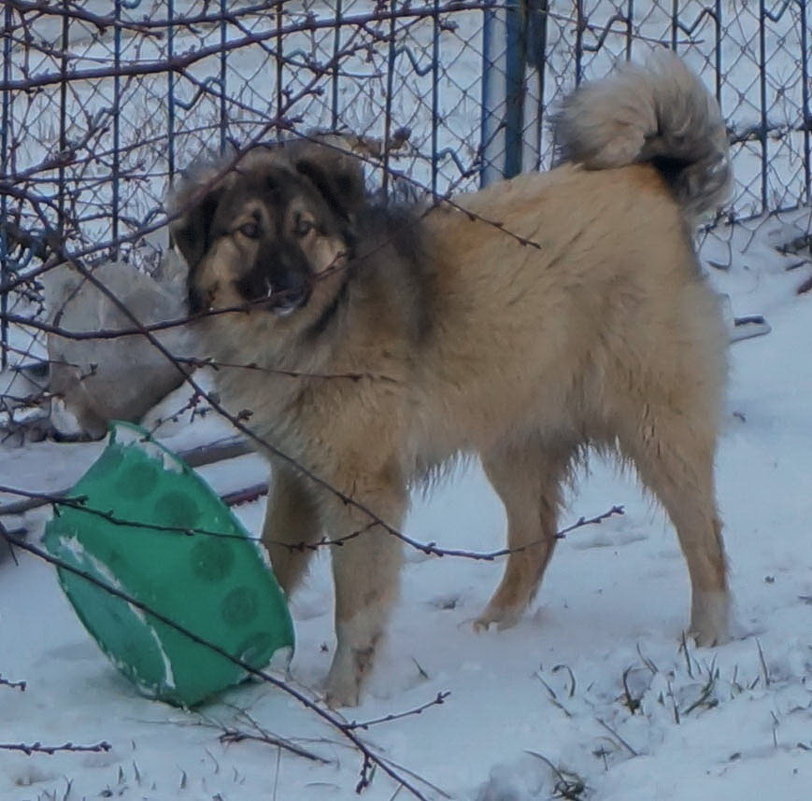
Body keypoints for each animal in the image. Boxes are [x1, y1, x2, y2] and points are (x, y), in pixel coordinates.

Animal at [174, 51, 732, 708]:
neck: (315, 329)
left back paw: (710, 633)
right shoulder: (293, 476)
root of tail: (650, 178)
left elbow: (355, 609)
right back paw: (496, 624)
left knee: (703, 535)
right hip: (513, 434)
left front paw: (341, 696)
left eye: (305, 227)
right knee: (538, 535)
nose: (290, 288)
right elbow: (275, 567)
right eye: (249, 230)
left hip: (654, 426)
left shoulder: (361, 491)